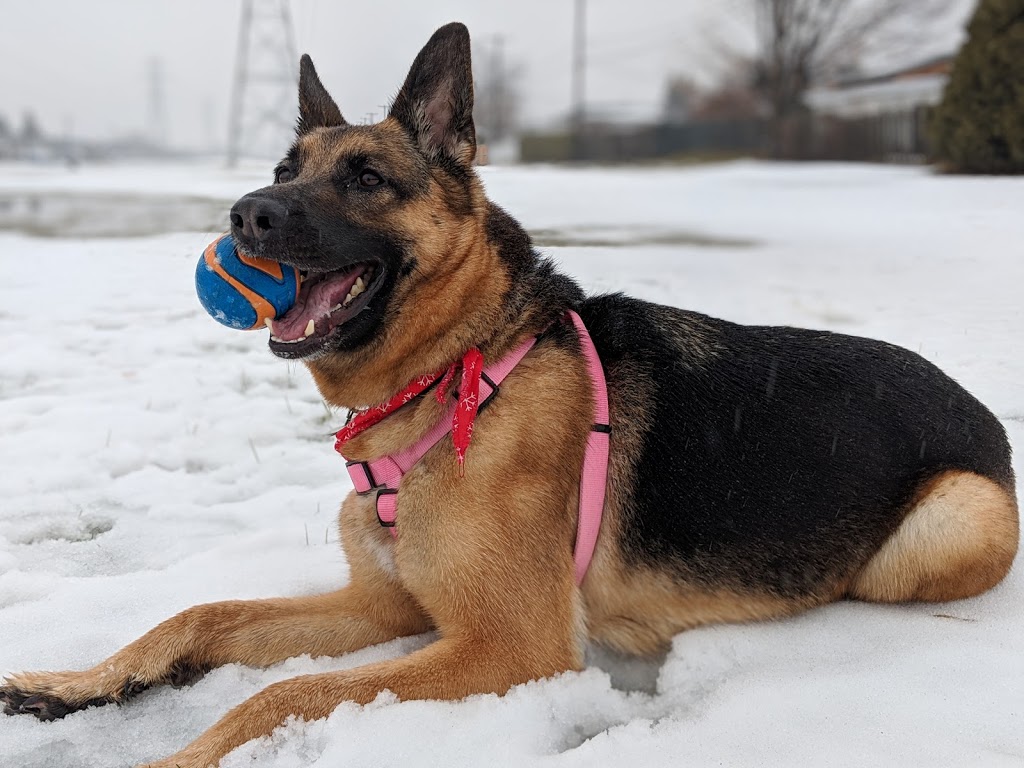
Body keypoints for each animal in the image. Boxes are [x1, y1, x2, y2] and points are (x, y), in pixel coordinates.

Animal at [4, 20, 1019, 765]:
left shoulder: (505, 647)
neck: (459, 368)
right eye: (285, 171)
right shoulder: (389, 607)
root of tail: (984, 416)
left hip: (947, 520)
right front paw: (79, 684)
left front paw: (170, 756)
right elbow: (200, 613)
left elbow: (285, 692)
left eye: (365, 178)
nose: (246, 216)